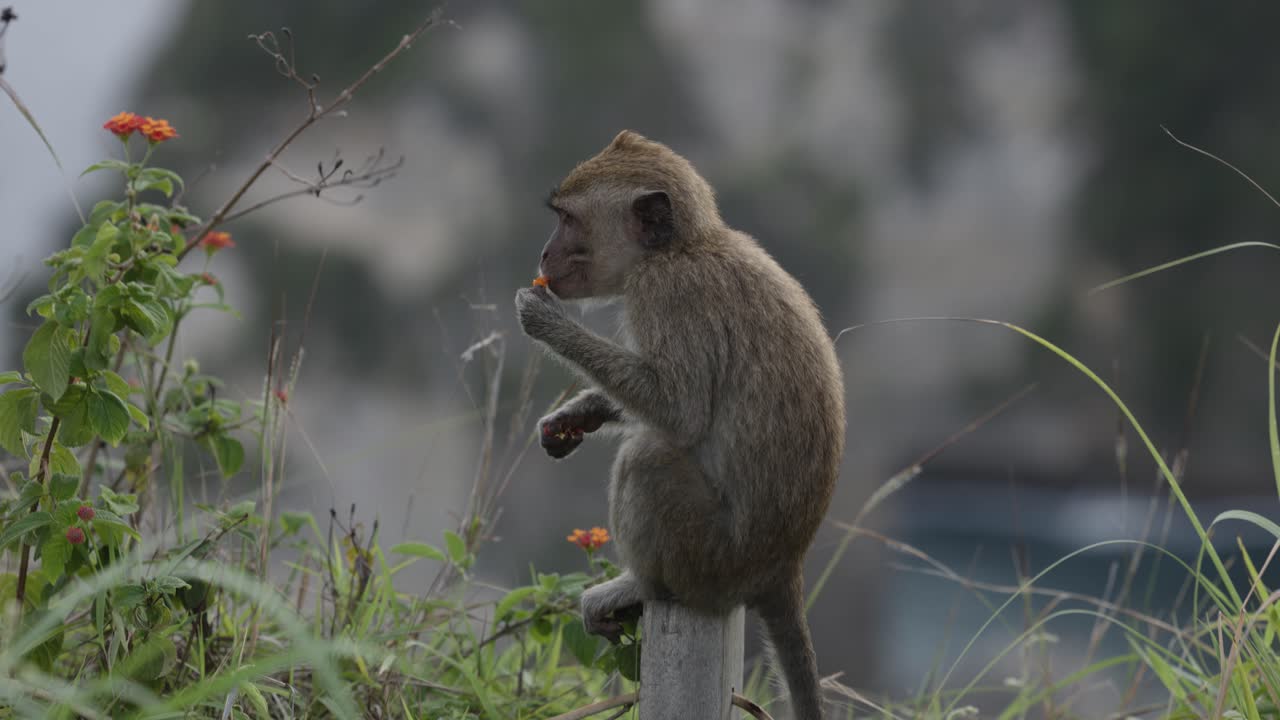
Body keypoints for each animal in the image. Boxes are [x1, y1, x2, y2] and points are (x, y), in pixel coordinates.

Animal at [515, 131, 844, 720]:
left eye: (569, 220)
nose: (543, 255)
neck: (682, 248)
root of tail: (784, 566)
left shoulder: (665, 292)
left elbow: (679, 408)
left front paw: (548, 323)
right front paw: (578, 415)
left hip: (710, 558)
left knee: (648, 458)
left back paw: (638, 588)